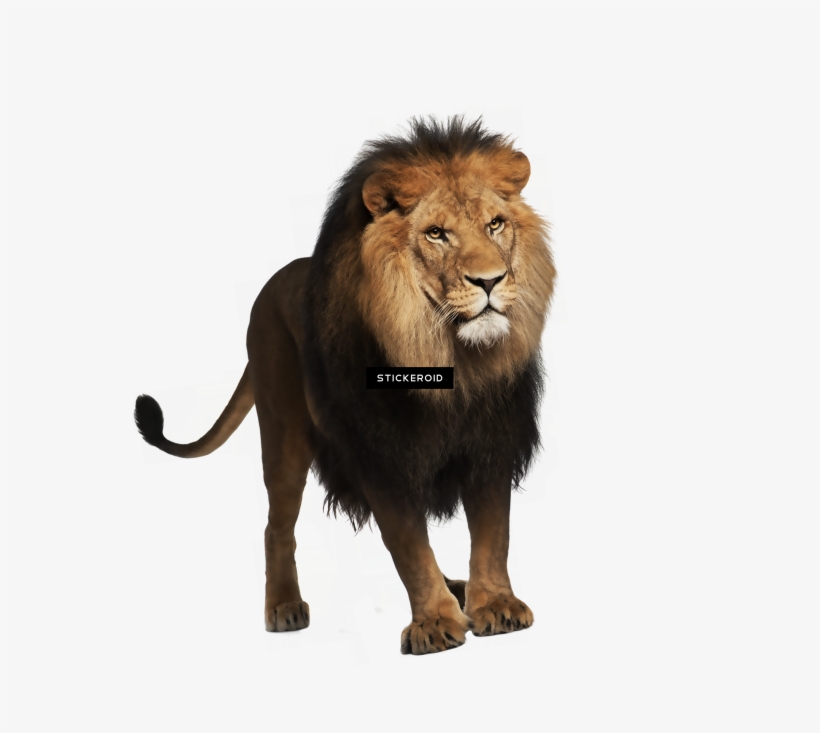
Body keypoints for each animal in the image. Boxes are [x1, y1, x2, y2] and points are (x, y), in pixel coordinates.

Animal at [135, 116, 556, 654]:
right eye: (436, 234)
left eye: (495, 224)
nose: (491, 281)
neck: (447, 357)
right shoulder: (381, 453)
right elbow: (408, 544)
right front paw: (434, 623)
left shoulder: (492, 440)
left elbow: (492, 534)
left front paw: (495, 606)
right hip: (284, 432)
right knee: (276, 525)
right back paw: (284, 607)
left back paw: (457, 587)